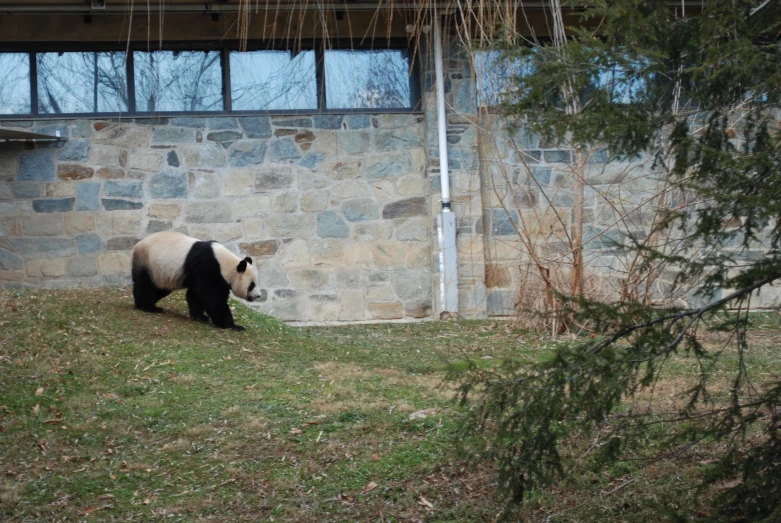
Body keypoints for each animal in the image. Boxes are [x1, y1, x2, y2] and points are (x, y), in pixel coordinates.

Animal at [129, 232, 260, 332]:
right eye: (251, 285)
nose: (258, 296)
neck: (225, 263)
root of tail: (137, 245)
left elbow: (195, 295)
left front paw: (200, 316)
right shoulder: (208, 267)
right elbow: (212, 298)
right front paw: (233, 326)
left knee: (160, 288)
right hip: (147, 262)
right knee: (145, 285)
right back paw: (146, 306)